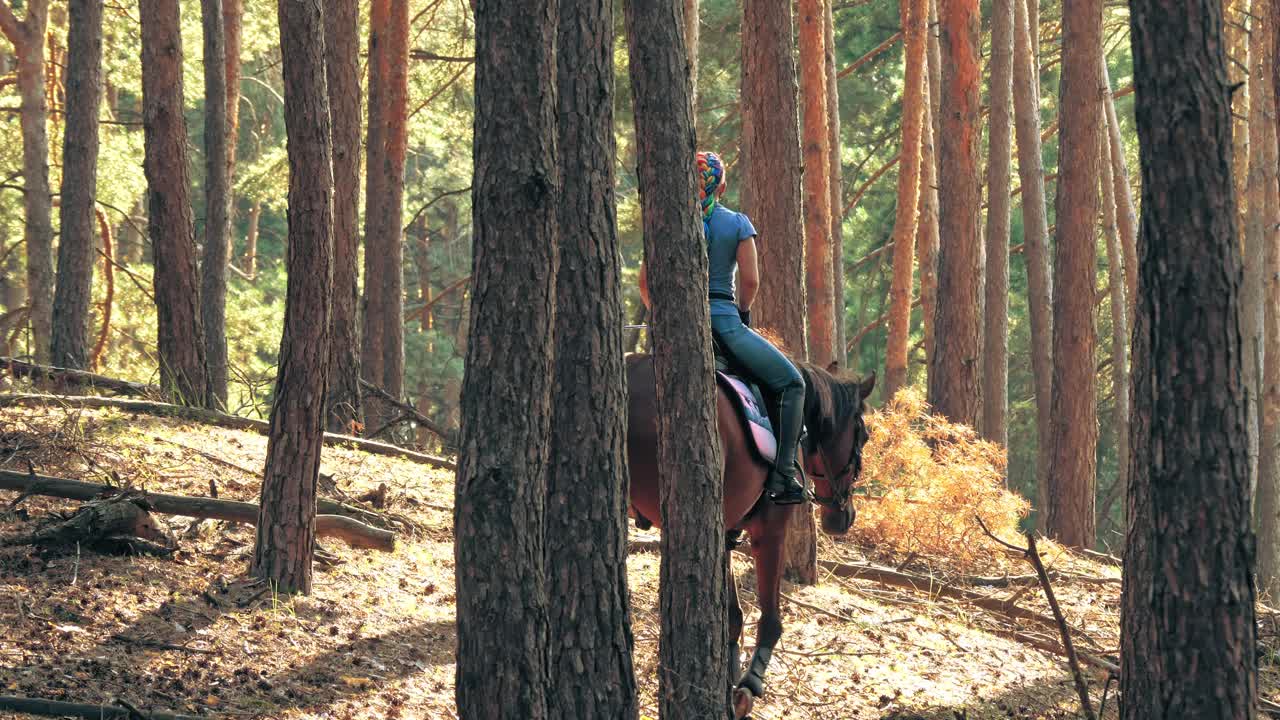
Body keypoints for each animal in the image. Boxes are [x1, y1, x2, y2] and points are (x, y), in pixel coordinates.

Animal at [624, 351, 875, 707]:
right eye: (863, 436)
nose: (845, 517)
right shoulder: (770, 531)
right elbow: (770, 619)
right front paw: (748, 684)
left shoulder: (725, 530)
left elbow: (732, 615)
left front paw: (729, 679)